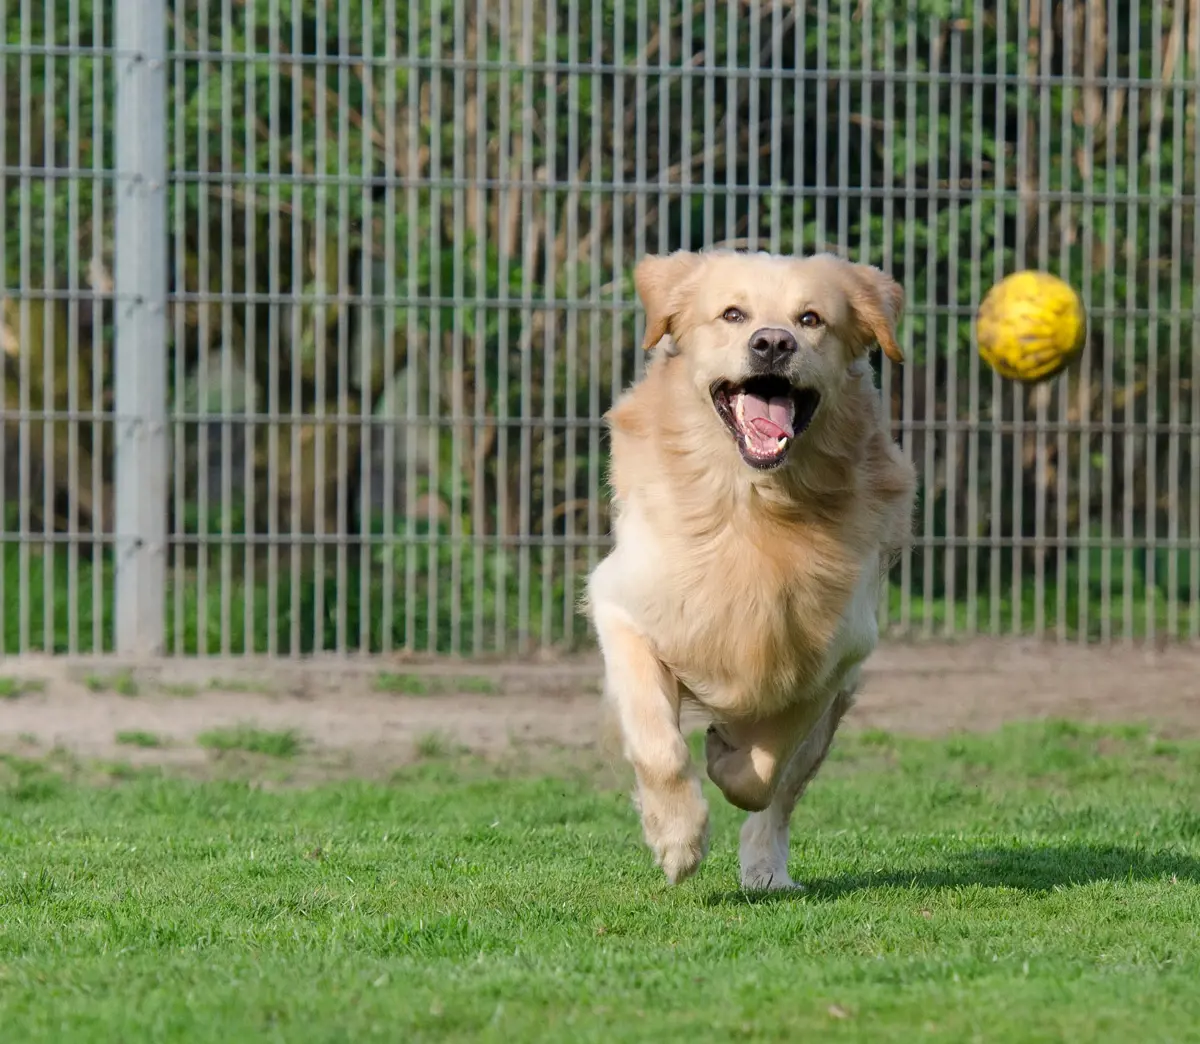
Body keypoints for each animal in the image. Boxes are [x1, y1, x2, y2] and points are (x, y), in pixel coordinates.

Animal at [585, 247, 912, 892]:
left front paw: (725, 756)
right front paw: (677, 839)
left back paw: (766, 868)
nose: (773, 343)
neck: (755, 505)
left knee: (783, 794)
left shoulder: (833, 656)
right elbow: (659, 745)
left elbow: (762, 772)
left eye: (811, 319)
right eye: (733, 314)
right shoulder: (622, 608)